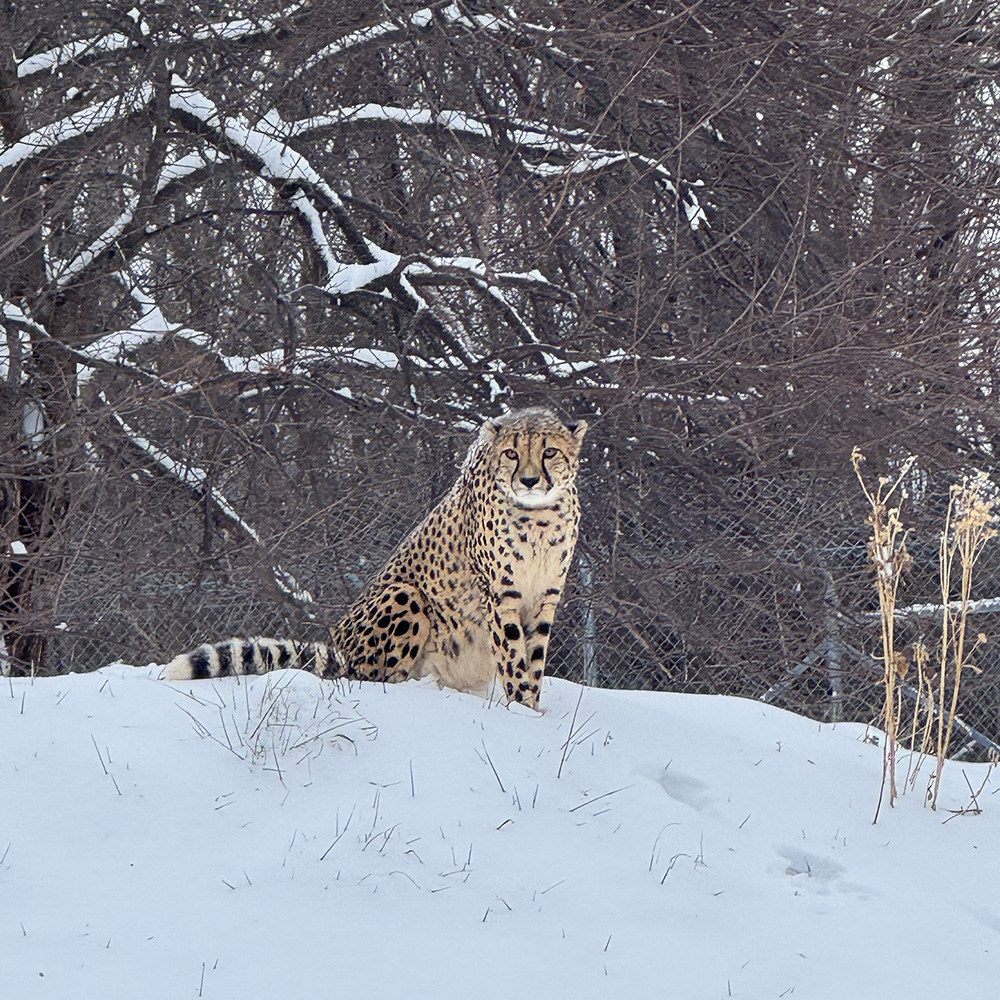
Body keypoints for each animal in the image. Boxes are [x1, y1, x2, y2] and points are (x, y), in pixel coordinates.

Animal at [163, 408, 584, 712]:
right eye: (512, 453)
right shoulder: (499, 597)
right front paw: (522, 711)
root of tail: (339, 644)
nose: (528, 481)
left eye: (549, 451)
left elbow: (534, 660)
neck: (539, 516)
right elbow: (513, 660)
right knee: (370, 678)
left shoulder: (543, 600)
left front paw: (533, 710)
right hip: (404, 595)